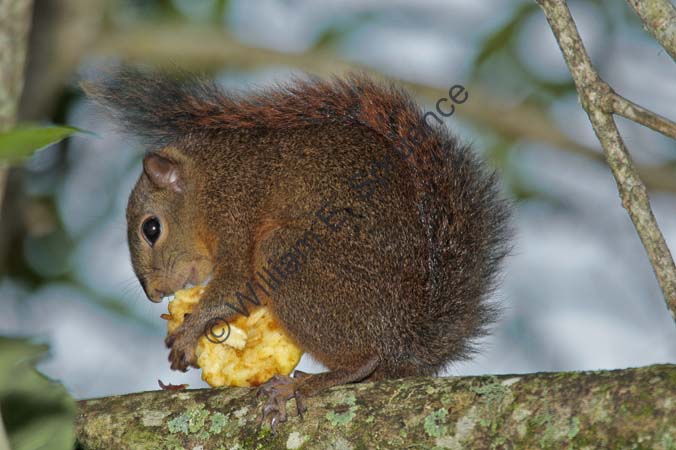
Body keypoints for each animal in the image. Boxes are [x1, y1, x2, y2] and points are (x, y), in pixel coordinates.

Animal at [84, 67, 511, 431]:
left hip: (289, 256)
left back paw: (301, 385)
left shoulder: (235, 212)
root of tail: (404, 335)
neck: (210, 180)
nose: (154, 294)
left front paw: (189, 332)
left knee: (365, 359)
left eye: (151, 228)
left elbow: (235, 284)